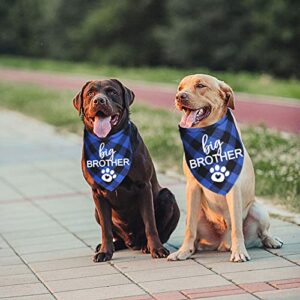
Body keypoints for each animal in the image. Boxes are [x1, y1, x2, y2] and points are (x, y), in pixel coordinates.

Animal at [73, 78, 179, 262]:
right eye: (90, 93)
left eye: (112, 92)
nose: (99, 101)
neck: (107, 142)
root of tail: (132, 242)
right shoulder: (97, 192)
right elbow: (106, 229)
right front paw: (105, 252)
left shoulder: (143, 186)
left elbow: (150, 223)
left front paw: (157, 249)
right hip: (96, 211)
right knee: (116, 235)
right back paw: (112, 245)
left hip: (168, 197)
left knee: (160, 229)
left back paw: (146, 245)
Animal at [168, 74, 282, 262]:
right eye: (180, 88)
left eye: (200, 85)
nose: (179, 97)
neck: (207, 136)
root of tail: (222, 243)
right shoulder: (192, 187)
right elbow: (190, 228)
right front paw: (183, 251)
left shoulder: (233, 188)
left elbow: (236, 226)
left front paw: (239, 252)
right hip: (199, 213)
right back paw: (192, 249)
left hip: (257, 209)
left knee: (263, 233)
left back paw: (271, 241)